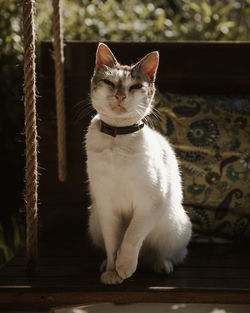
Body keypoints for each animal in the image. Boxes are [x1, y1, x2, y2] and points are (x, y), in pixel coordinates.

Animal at [85, 42, 192, 284]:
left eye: (135, 87)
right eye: (110, 83)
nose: (120, 96)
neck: (117, 138)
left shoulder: (149, 204)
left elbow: (131, 238)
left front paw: (124, 267)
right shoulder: (107, 208)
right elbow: (113, 245)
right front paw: (112, 273)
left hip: (174, 224)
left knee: (167, 254)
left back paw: (160, 265)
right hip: (95, 218)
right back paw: (107, 266)